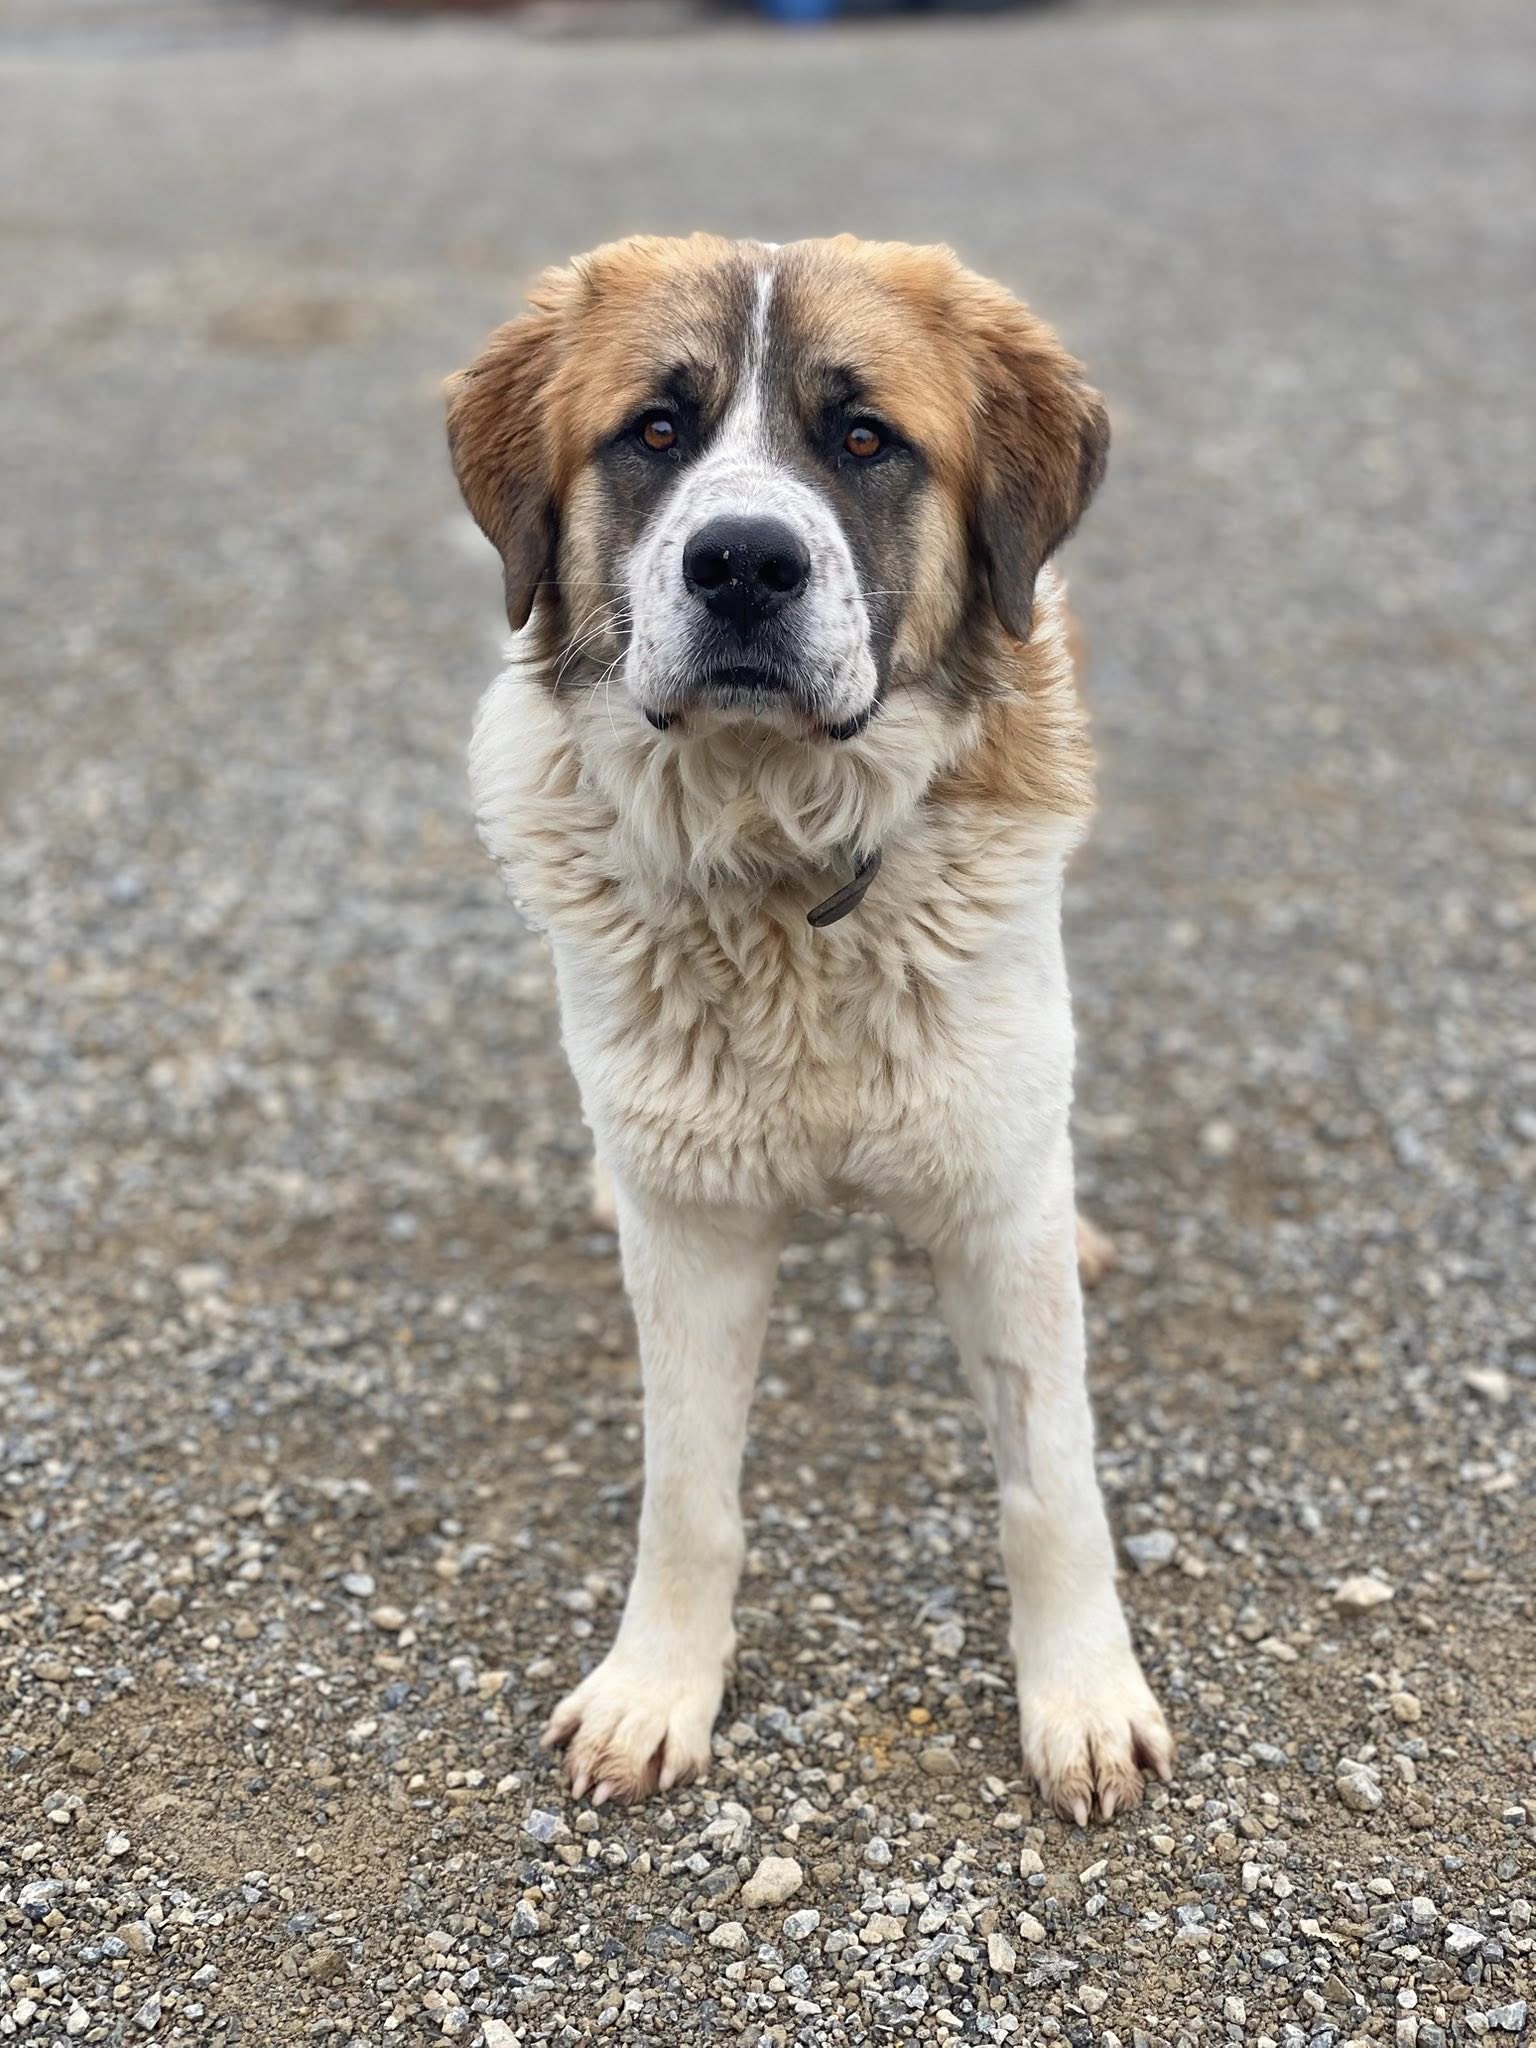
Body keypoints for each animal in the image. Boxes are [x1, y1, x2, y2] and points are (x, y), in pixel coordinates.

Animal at [448, 234, 1172, 1824]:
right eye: (656, 431)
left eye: (864, 441)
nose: (741, 563)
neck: (784, 870)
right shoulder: (698, 1230)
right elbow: (688, 1494)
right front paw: (658, 1687)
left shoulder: (993, 1203)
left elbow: (1053, 1487)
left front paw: (1083, 1699)